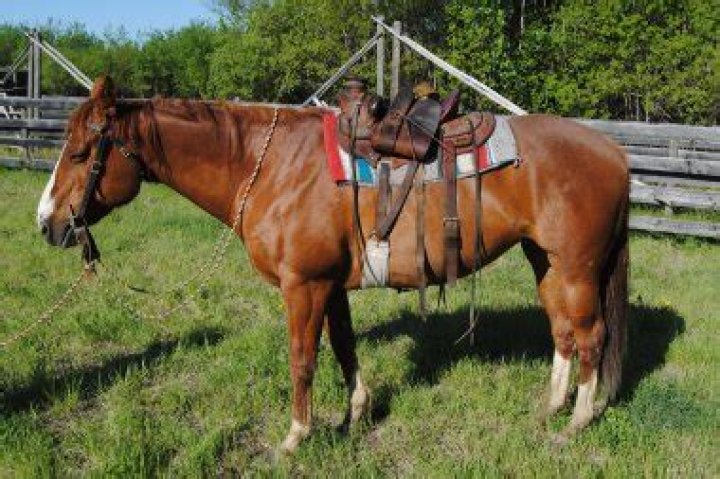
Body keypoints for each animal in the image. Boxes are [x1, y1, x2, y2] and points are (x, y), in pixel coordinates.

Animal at [37, 75, 629, 452]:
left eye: (81, 154)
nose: (47, 224)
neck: (270, 166)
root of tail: (614, 152)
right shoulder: (331, 285)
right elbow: (344, 347)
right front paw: (355, 414)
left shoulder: (304, 285)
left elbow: (303, 359)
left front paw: (296, 437)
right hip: (546, 262)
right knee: (563, 332)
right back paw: (550, 408)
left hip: (577, 267)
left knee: (593, 335)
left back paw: (577, 421)